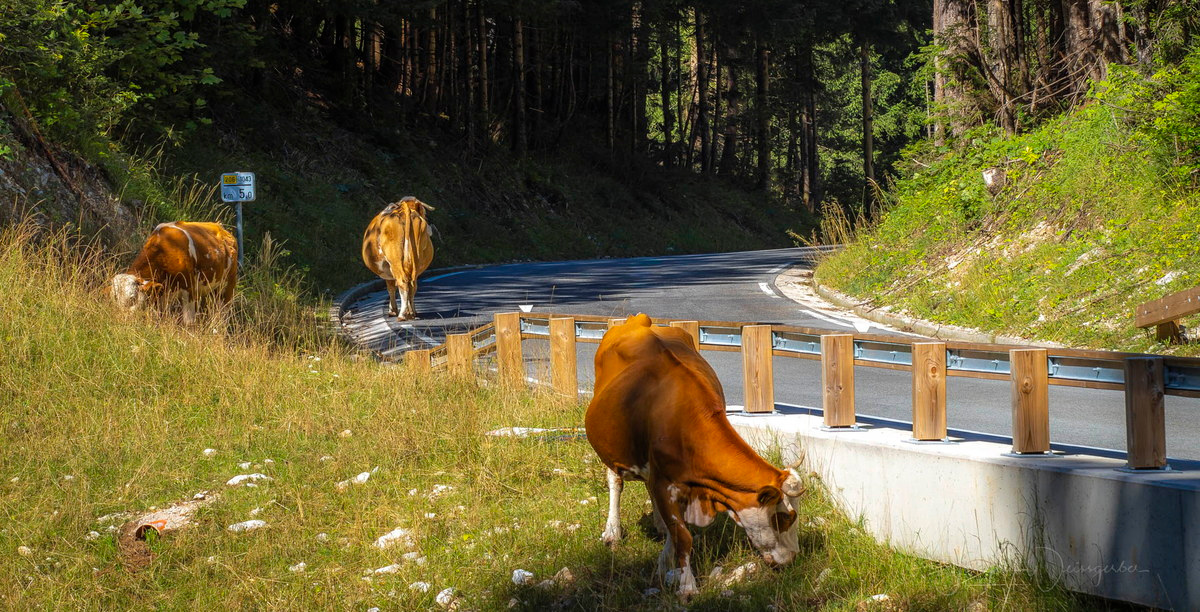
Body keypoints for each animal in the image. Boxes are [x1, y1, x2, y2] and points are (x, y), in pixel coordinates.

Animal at [585, 314, 805, 601]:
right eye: (784, 517)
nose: (793, 558)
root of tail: (639, 320)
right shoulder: (663, 482)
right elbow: (682, 536)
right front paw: (687, 586)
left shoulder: (669, 481)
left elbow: (675, 530)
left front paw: (664, 563)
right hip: (613, 446)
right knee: (615, 482)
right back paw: (612, 531)